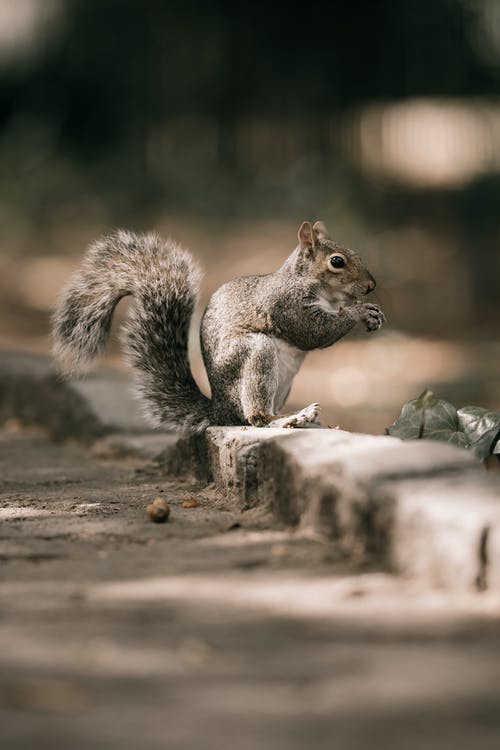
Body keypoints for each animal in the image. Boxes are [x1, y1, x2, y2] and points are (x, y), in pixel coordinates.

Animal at [52, 220, 384, 434]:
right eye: (337, 262)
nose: (371, 286)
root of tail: (220, 412)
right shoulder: (284, 304)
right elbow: (310, 332)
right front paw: (359, 312)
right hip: (255, 354)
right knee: (255, 418)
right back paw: (284, 419)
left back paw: (300, 419)